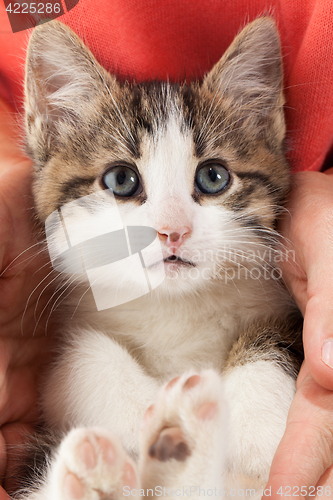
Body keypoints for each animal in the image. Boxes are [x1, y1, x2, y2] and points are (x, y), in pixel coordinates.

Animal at [20, 15, 302, 500]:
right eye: (120, 180)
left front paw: (257, 422)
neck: (176, 307)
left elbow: (283, 337)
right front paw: (146, 413)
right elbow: (74, 358)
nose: (173, 230)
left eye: (213, 177)